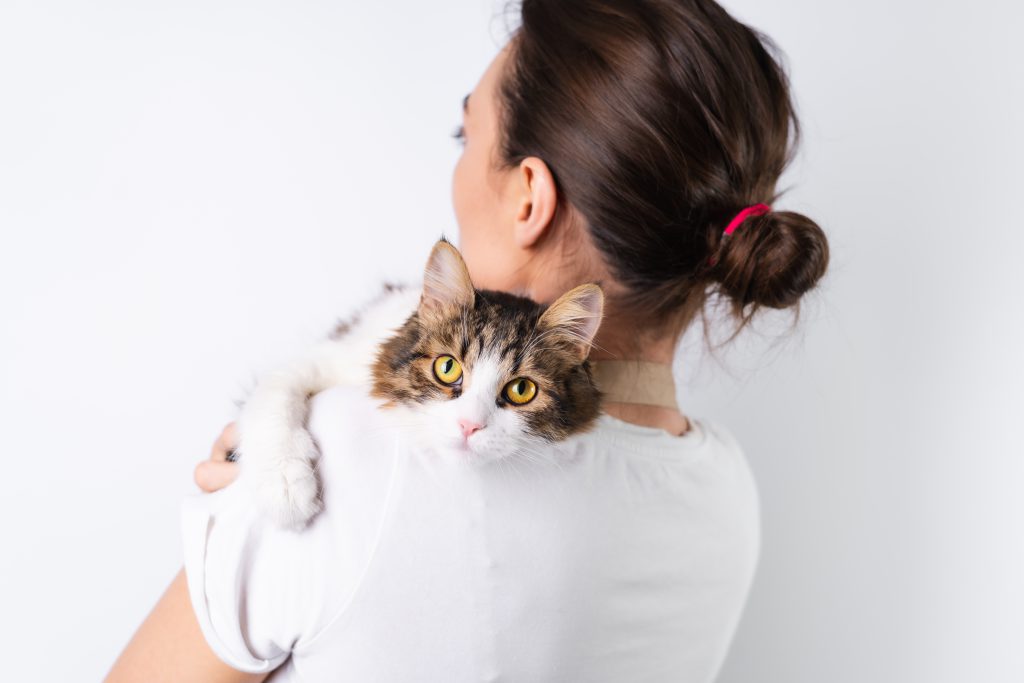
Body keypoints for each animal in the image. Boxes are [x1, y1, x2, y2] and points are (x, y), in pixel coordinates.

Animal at [233, 237, 602, 532]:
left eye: (521, 390)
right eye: (447, 368)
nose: (469, 426)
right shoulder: (325, 359)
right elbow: (274, 395)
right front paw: (284, 488)